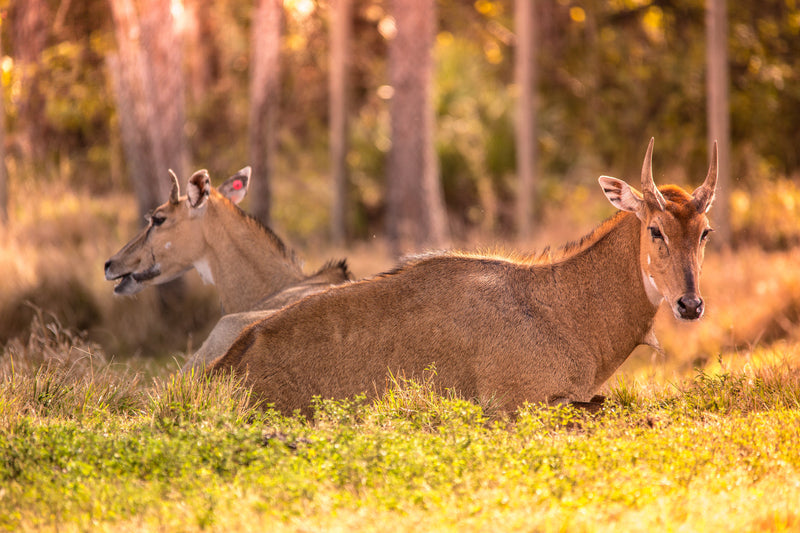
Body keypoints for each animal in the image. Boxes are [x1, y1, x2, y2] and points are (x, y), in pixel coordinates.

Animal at [208, 139, 717, 417]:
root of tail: (227, 365)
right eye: (655, 229)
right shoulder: (513, 404)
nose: (690, 304)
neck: (565, 309)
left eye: (705, 231)